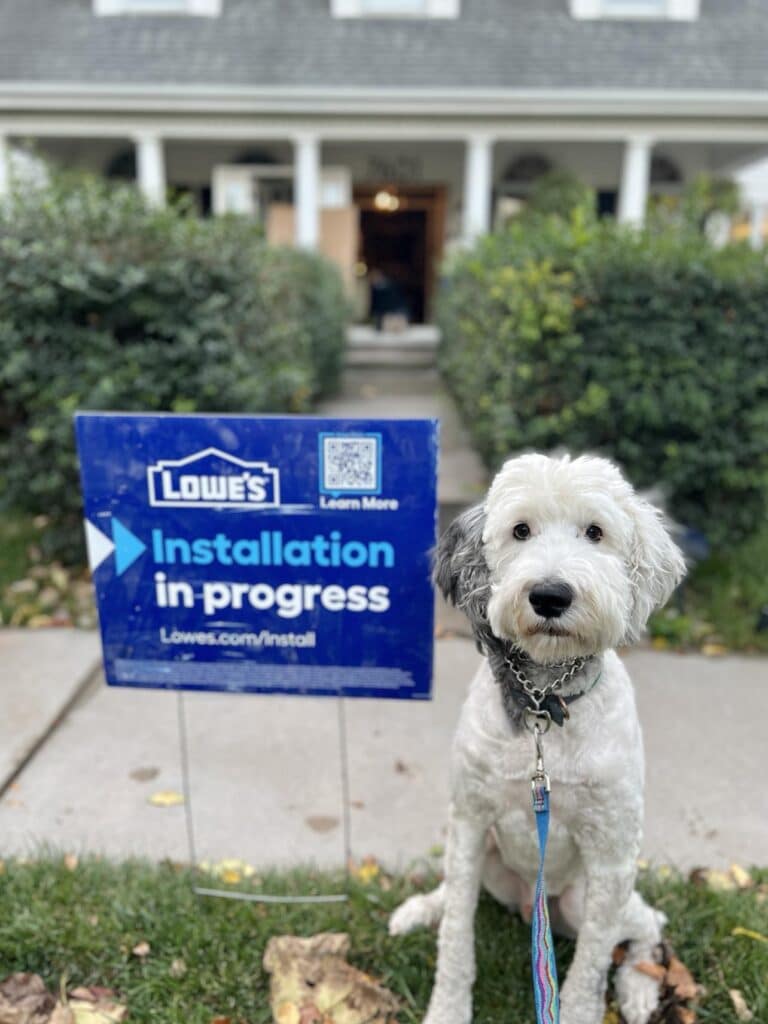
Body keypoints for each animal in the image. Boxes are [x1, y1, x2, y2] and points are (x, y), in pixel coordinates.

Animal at [391, 454, 684, 1024]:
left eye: (595, 532)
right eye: (520, 530)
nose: (550, 595)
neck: (543, 706)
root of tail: (534, 905)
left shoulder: (613, 852)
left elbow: (592, 961)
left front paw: (583, 1009)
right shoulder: (469, 819)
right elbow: (456, 934)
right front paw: (448, 1006)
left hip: (590, 896)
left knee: (646, 927)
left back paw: (640, 988)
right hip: (486, 860)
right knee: (455, 892)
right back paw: (421, 908)